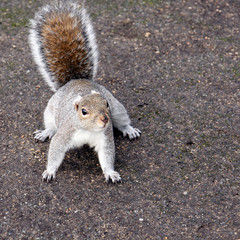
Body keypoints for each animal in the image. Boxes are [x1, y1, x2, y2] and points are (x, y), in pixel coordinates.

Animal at [28, 0, 141, 183]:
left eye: (106, 104)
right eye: (84, 111)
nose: (105, 119)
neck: (88, 130)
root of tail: (76, 80)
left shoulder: (105, 137)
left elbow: (107, 156)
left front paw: (110, 173)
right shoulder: (65, 134)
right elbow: (55, 150)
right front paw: (50, 171)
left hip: (118, 110)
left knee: (122, 120)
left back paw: (129, 129)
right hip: (50, 112)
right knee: (51, 127)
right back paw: (45, 132)